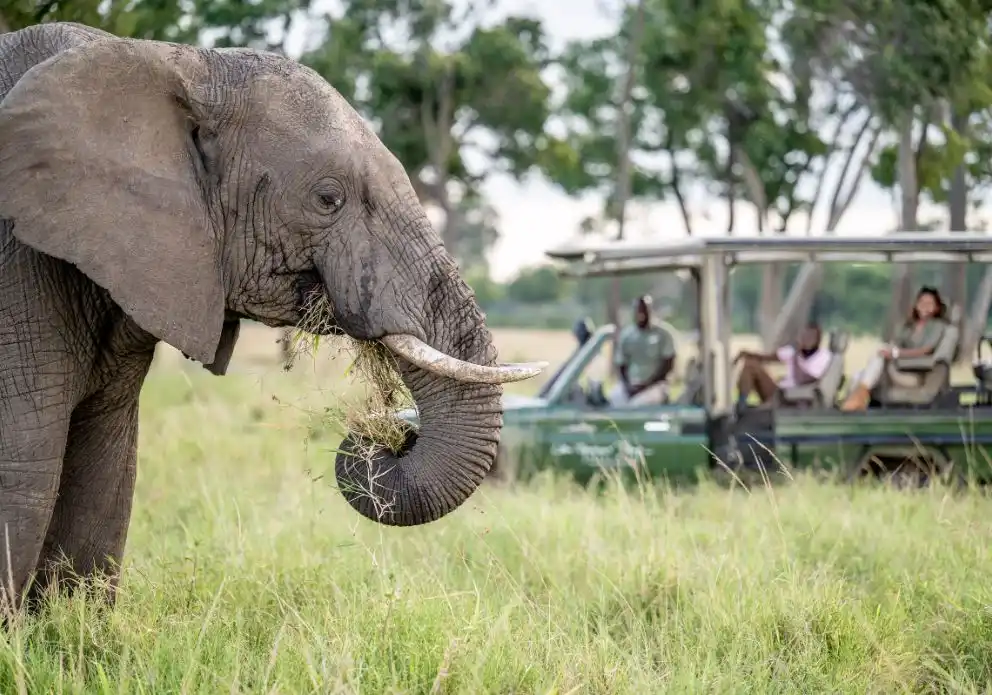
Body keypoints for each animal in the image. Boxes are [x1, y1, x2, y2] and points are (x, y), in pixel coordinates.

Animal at [0, 20, 548, 608]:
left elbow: (105, 471)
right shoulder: (16, 274)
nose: (390, 434)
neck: (174, 62)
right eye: (328, 199)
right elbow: (23, 471)